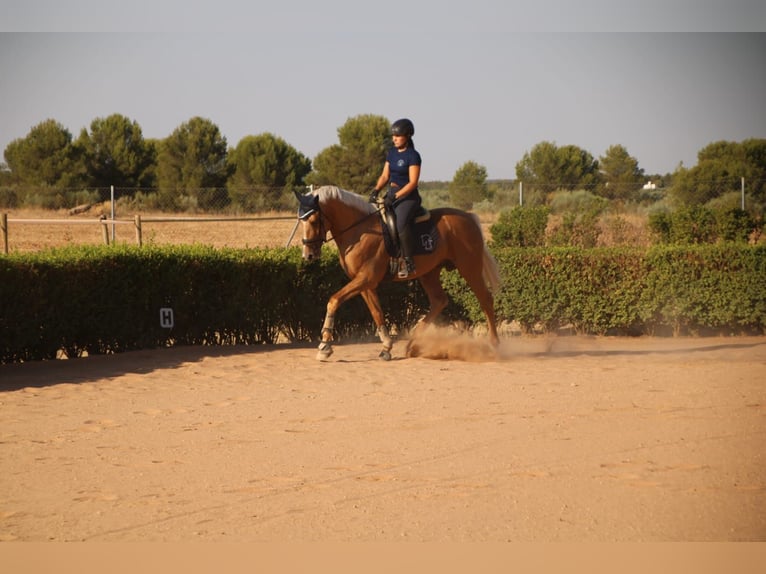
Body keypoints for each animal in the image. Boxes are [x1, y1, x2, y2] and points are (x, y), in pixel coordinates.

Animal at [296, 187, 504, 362]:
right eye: (301, 221)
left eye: (313, 221)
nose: (308, 255)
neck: (360, 231)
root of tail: (469, 217)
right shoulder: (364, 283)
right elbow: (377, 313)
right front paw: (387, 347)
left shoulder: (366, 278)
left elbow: (333, 300)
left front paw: (325, 346)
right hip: (429, 273)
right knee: (439, 301)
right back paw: (414, 341)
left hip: (469, 267)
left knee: (486, 299)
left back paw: (494, 346)